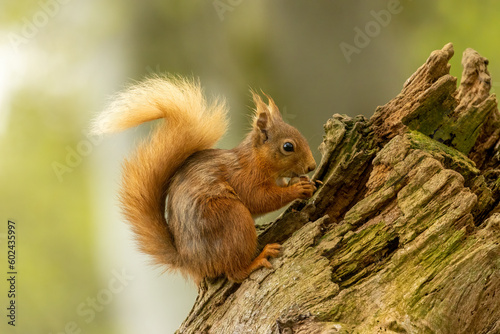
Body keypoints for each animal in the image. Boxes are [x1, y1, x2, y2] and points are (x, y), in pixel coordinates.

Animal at [93, 75, 316, 284]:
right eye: (288, 146)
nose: (312, 166)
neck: (257, 160)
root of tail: (192, 263)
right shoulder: (244, 177)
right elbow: (260, 199)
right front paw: (297, 190)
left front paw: (304, 182)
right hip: (232, 219)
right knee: (234, 272)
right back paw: (257, 259)